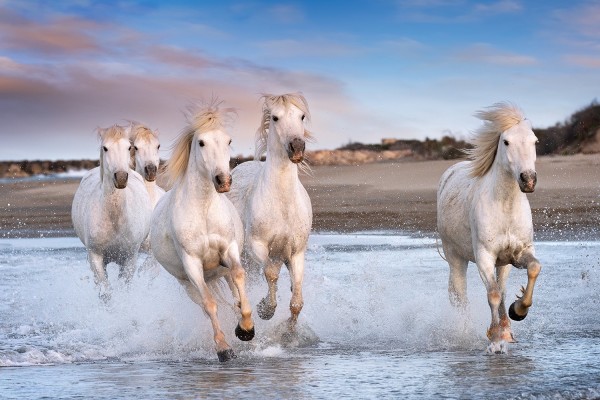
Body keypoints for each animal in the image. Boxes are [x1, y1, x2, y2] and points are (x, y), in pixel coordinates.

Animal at [71, 125, 152, 300]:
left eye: (129, 147)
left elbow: (124, 288)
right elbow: (106, 293)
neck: (115, 219)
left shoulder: (129, 258)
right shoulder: (95, 257)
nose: (121, 178)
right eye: (105, 148)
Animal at [150, 101, 255, 360]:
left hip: (220, 273)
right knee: (209, 304)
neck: (204, 209)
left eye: (228, 140)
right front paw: (224, 348)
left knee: (234, 295)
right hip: (189, 283)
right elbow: (210, 305)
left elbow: (240, 276)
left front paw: (247, 329)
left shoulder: (229, 250)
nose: (223, 180)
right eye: (201, 142)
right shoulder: (192, 263)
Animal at [227, 94, 314, 328]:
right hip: (243, 256)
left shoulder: (296, 252)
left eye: (302, 116)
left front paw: (290, 331)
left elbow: (297, 299)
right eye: (275, 117)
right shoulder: (257, 246)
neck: (282, 204)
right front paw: (265, 309)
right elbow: (271, 274)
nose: (297, 147)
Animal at [436, 102, 544, 354]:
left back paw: (507, 329)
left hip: (503, 263)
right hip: (456, 257)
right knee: (460, 295)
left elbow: (533, 269)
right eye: (506, 142)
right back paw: (465, 335)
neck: (505, 206)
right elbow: (492, 294)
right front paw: (495, 340)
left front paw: (518, 311)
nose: (528, 180)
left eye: (534, 141)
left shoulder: (519, 253)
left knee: (501, 288)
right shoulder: (484, 256)